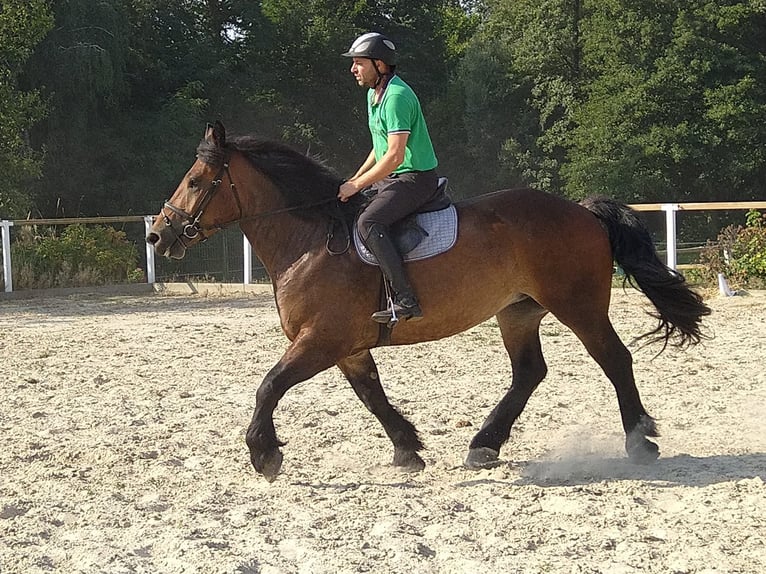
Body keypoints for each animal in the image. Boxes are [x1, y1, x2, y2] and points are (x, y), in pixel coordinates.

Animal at [148, 121, 712, 482]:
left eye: (196, 181)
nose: (158, 235)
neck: (310, 241)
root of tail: (581, 210)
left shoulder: (322, 341)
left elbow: (269, 386)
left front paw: (263, 454)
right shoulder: (348, 347)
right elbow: (371, 396)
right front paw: (407, 449)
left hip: (579, 307)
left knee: (615, 359)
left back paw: (640, 442)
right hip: (518, 311)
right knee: (529, 373)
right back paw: (484, 445)